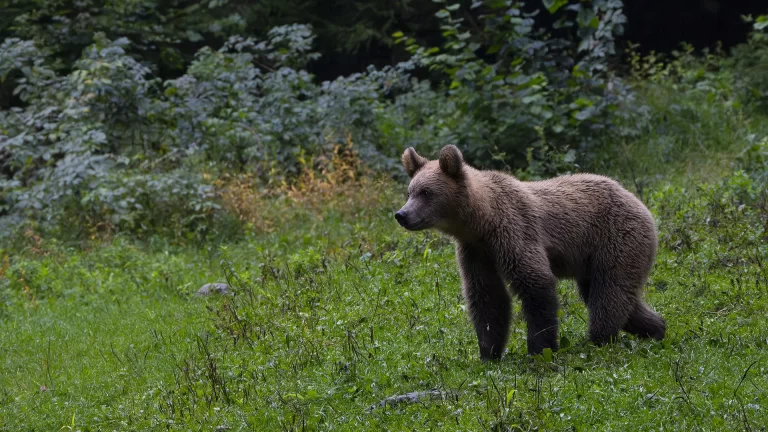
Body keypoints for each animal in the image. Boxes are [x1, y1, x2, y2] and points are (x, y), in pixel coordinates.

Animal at [394, 145, 666, 360]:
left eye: (426, 192)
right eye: (409, 191)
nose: (402, 215)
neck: (482, 221)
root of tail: (639, 202)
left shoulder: (514, 231)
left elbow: (535, 284)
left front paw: (540, 349)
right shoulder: (477, 251)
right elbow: (486, 296)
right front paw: (488, 352)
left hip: (616, 239)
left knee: (609, 292)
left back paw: (601, 338)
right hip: (595, 258)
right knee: (612, 295)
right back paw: (656, 328)